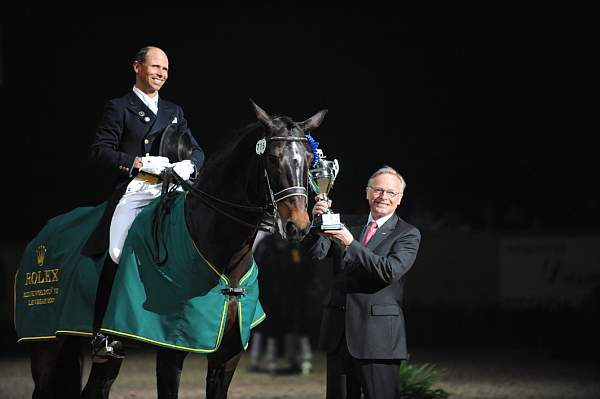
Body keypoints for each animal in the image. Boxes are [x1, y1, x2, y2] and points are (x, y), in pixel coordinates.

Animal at [23, 101, 326, 399]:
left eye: (309, 160)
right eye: (273, 158)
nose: (298, 225)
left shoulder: (227, 356)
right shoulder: (171, 351)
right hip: (47, 347)